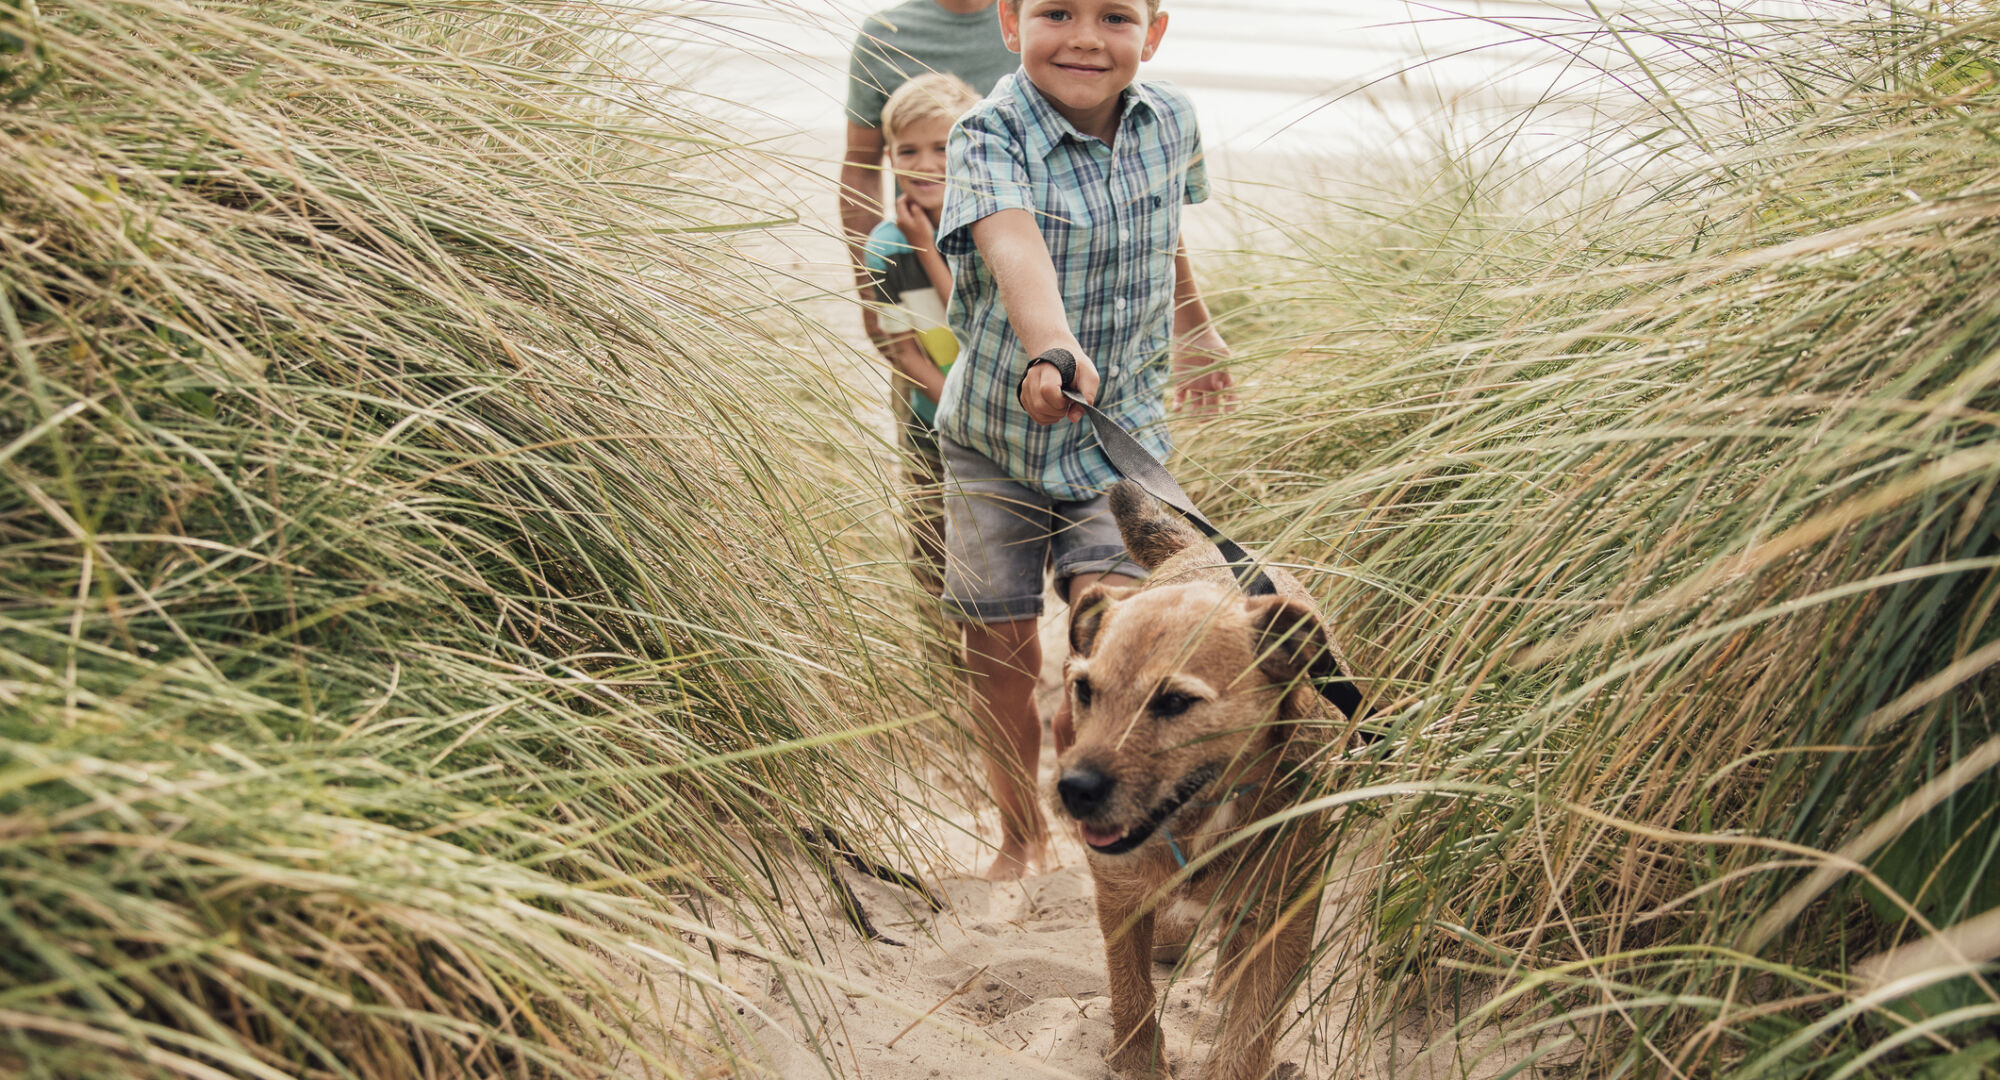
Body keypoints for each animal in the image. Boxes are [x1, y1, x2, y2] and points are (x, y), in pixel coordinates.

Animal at [1056, 484, 1352, 1080]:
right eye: (1084, 691)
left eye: (1175, 702)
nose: (1072, 790)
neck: (1199, 823)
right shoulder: (1118, 896)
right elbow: (1130, 988)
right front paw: (1139, 1062)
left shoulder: (1284, 919)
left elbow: (1249, 1030)